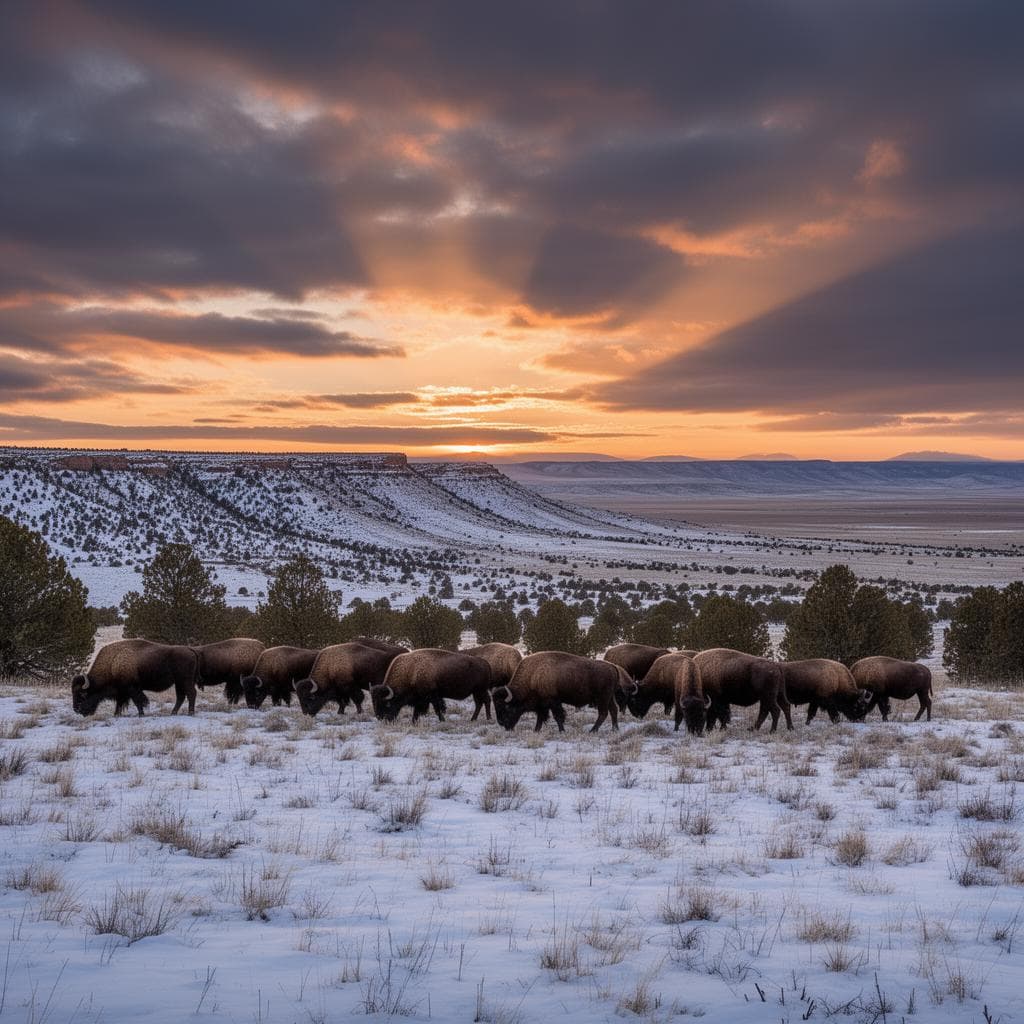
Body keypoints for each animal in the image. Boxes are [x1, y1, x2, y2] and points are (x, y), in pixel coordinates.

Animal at [492, 652, 637, 733]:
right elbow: (541, 717)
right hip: (609, 697)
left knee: (603, 713)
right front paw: (536, 730)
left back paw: (593, 731)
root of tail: (612, 667)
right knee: (613, 710)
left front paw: (562, 730)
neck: (533, 675)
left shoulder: (553, 702)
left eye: (506, 707)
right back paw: (614, 729)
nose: (503, 724)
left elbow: (558, 716)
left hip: (602, 697)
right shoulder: (542, 705)